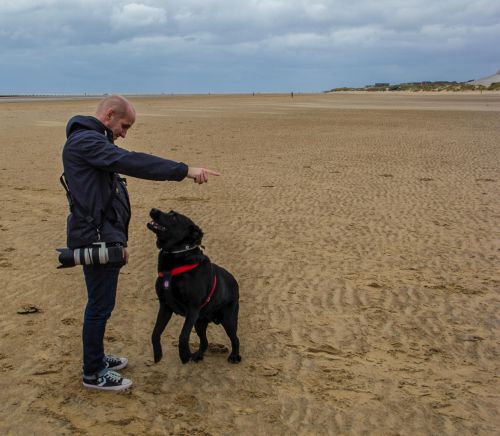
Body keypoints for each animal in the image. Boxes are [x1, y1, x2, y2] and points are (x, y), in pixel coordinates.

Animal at [146, 209, 242, 364]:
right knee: (205, 342)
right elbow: (155, 333)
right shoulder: (165, 306)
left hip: (228, 319)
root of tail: (234, 281)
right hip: (199, 322)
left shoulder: (193, 308)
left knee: (235, 339)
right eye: (169, 211)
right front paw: (158, 354)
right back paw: (197, 355)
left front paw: (184, 356)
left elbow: (183, 335)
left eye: (174, 217)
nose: (153, 210)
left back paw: (234, 356)